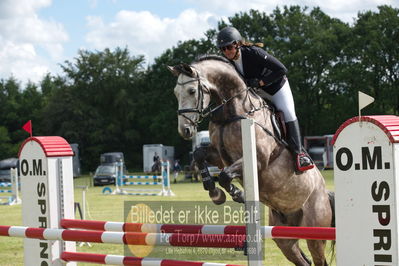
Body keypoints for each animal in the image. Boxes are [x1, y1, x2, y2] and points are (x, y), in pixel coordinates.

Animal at [168, 55, 334, 266]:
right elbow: (199, 155)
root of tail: (325, 193)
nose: (185, 130)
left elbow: (225, 175)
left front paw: (235, 193)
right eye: (175, 93)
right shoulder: (219, 156)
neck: (233, 111)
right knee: (300, 258)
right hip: (284, 236)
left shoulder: (257, 161)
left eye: (191, 91)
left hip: (315, 232)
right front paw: (214, 192)